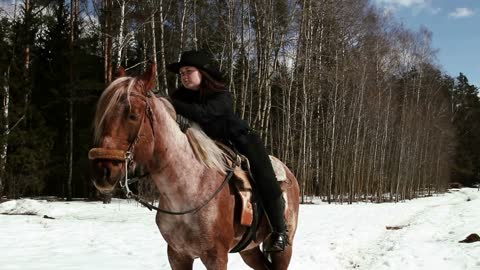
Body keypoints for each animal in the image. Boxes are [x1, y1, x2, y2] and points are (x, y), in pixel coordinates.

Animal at [88, 64, 298, 268]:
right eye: (102, 115)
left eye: (132, 115)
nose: (102, 171)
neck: (191, 186)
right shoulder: (178, 255)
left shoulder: (216, 257)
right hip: (249, 250)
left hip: (283, 251)